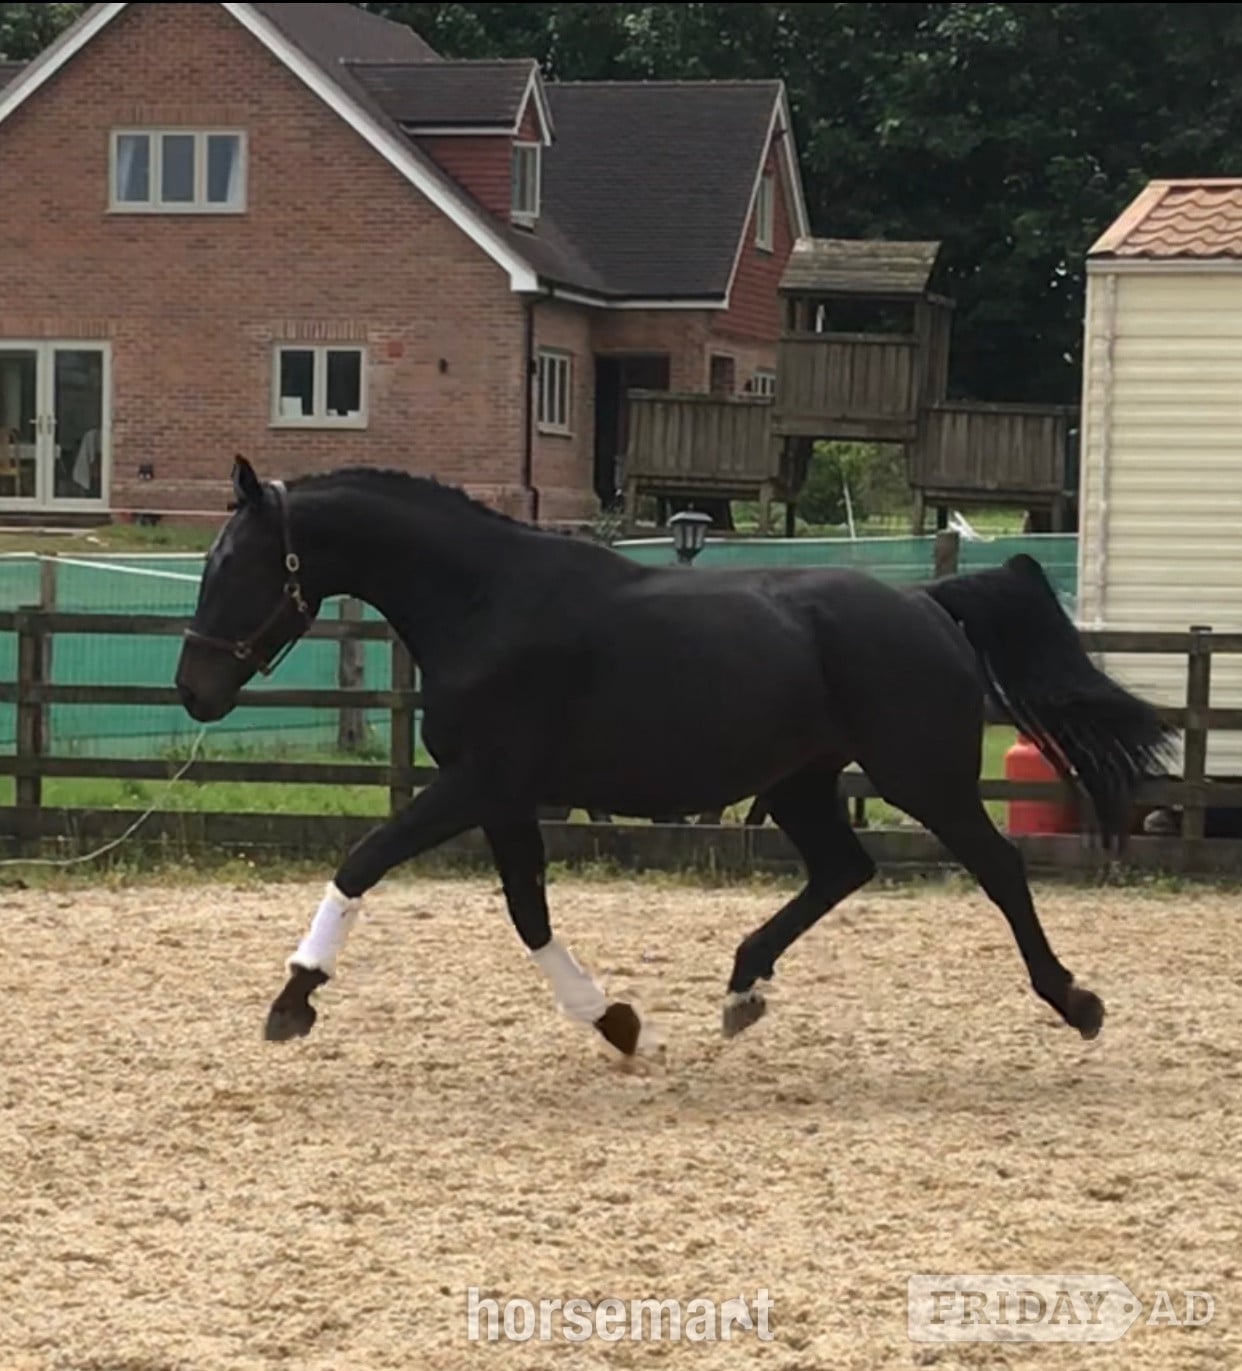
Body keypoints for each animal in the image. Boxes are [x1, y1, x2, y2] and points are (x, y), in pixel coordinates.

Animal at [175, 456, 1175, 1056]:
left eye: (237, 566)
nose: (192, 688)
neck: (485, 603)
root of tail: (926, 603)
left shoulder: (477, 783)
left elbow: (364, 861)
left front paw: (294, 998)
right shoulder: (505, 797)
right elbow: (528, 913)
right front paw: (617, 1022)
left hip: (921, 776)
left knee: (999, 866)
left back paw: (1075, 1000)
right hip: (804, 781)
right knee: (843, 868)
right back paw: (741, 989)